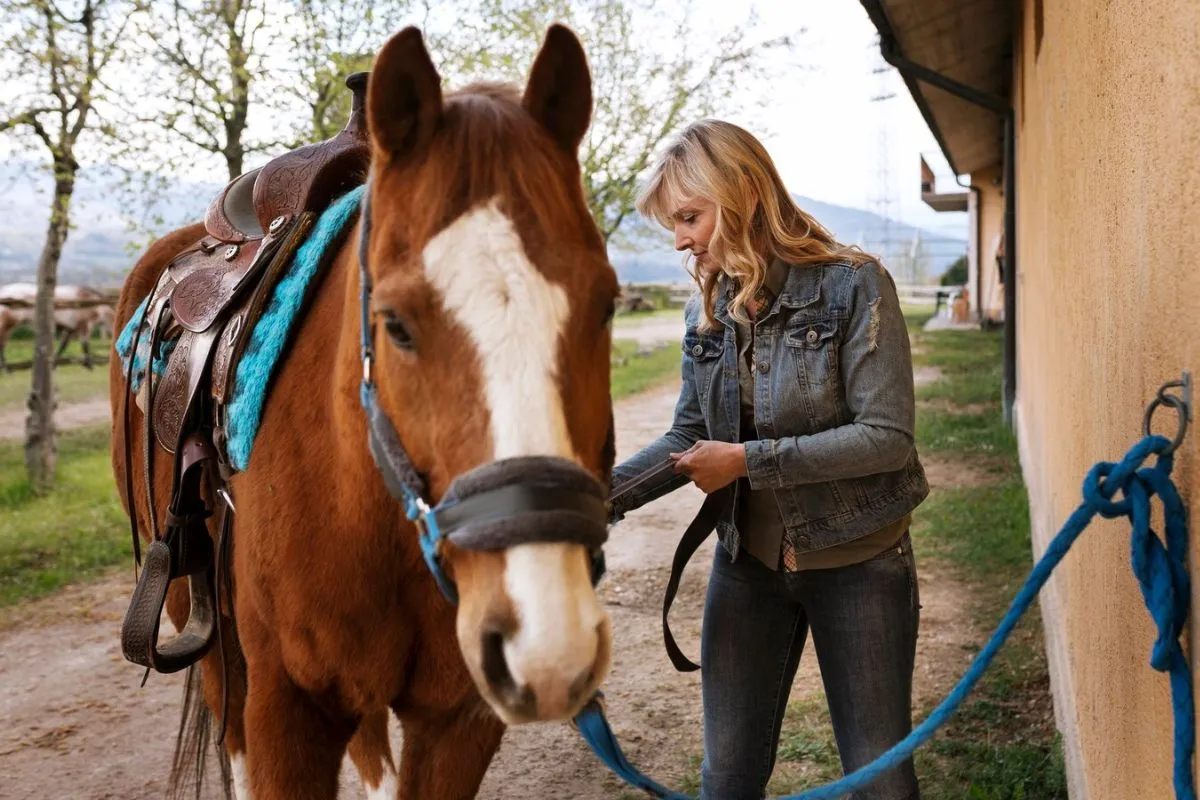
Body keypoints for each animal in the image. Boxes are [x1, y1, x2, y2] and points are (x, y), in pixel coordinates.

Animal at [106, 21, 619, 796]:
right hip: (199, 618)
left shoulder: (457, 722)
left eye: (608, 305)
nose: (547, 642)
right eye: (396, 324)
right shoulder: (286, 713)